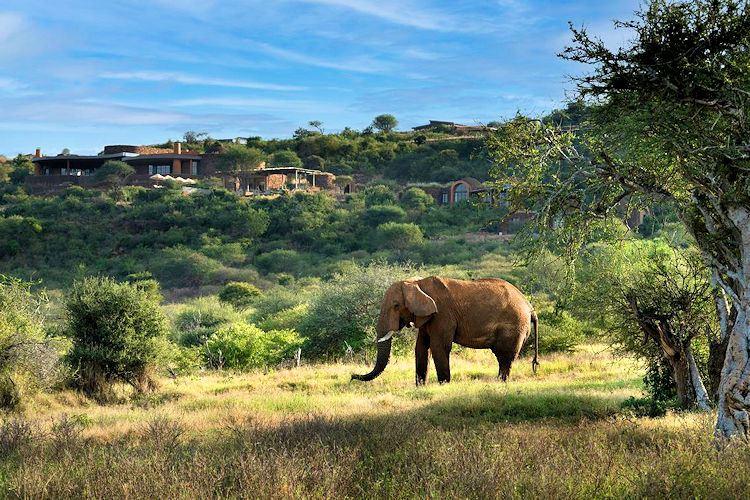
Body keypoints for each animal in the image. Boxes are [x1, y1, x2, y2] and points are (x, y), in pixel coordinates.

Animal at [352, 276, 538, 385]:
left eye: (396, 306)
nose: (352, 376)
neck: (417, 283)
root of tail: (530, 307)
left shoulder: (442, 314)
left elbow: (438, 346)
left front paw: (444, 385)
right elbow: (421, 348)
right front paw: (421, 386)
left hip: (514, 326)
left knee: (505, 356)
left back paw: (500, 383)